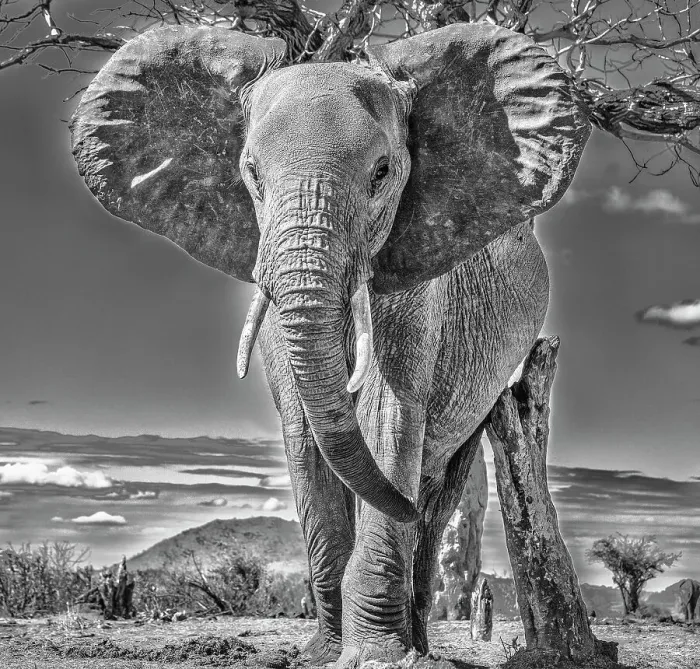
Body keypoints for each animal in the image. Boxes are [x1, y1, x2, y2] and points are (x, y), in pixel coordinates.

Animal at [70, 21, 590, 667]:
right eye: (252, 174)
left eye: (383, 173)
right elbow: (303, 430)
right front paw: (326, 651)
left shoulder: (418, 282)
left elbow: (388, 413)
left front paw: (375, 656)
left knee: (444, 489)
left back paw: (420, 640)